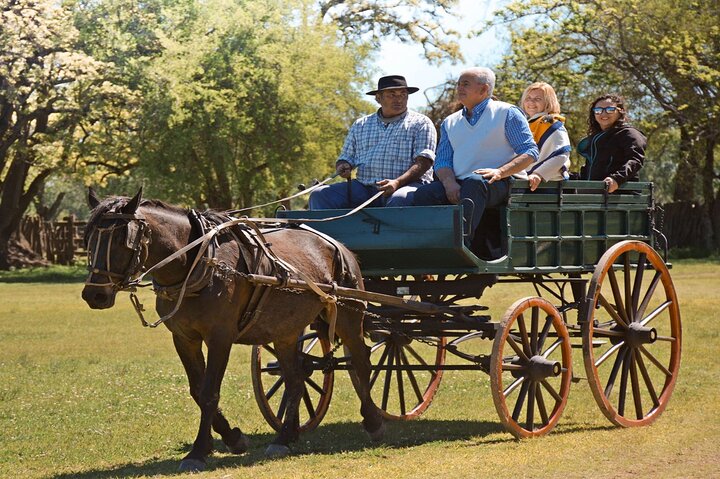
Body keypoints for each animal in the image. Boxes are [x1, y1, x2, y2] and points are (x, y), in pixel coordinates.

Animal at [79, 188, 386, 472]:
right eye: (89, 238)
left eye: (123, 239)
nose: (94, 295)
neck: (200, 263)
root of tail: (339, 245)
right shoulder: (184, 338)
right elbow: (197, 389)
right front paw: (233, 438)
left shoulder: (220, 337)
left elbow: (209, 392)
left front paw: (198, 452)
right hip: (286, 331)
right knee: (296, 379)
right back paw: (285, 437)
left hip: (348, 314)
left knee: (361, 361)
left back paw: (373, 421)